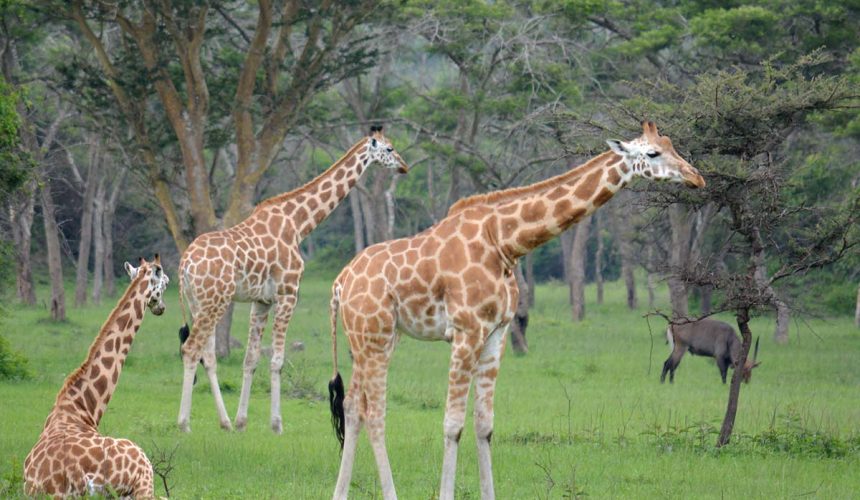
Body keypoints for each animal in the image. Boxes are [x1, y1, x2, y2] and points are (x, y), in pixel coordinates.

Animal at [176, 126, 408, 434]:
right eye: (390, 149)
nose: (404, 166)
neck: (299, 223)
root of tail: (184, 265)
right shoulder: (288, 293)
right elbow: (276, 360)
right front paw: (276, 424)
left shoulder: (261, 300)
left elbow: (251, 359)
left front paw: (241, 422)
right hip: (214, 301)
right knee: (190, 349)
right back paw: (184, 423)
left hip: (201, 302)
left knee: (208, 355)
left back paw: (224, 422)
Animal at [328, 122, 704, 500]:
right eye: (653, 153)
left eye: (672, 144)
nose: (696, 177)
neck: (505, 242)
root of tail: (340, 282)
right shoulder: (466, 331)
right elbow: (452, 424)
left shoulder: (497, 332)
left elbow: (484, 424)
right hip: (374, 336)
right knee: (374, 413)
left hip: (372, 338)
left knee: (353, 407)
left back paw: (339, 493)